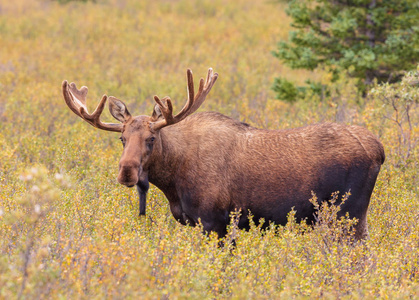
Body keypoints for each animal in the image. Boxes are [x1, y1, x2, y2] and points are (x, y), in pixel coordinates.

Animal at [60, 67, 386, 239]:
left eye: (151, 138)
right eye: (122, 138)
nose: (126, 171)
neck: (173, 183)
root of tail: (379, 150)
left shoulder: (215, 221)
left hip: (347, 215)